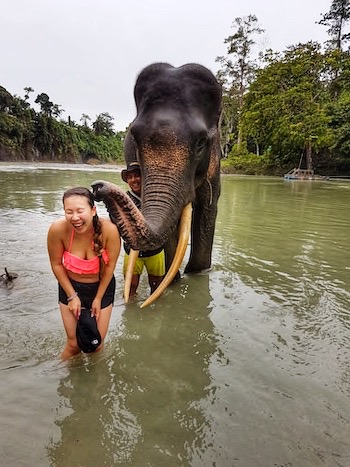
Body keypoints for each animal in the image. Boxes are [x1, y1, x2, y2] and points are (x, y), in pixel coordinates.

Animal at [92, 62, 221, 308]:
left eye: (201, 143)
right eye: (135, 138)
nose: (97, 187)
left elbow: (208, 208)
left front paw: (196, 273)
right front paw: (175, 281)